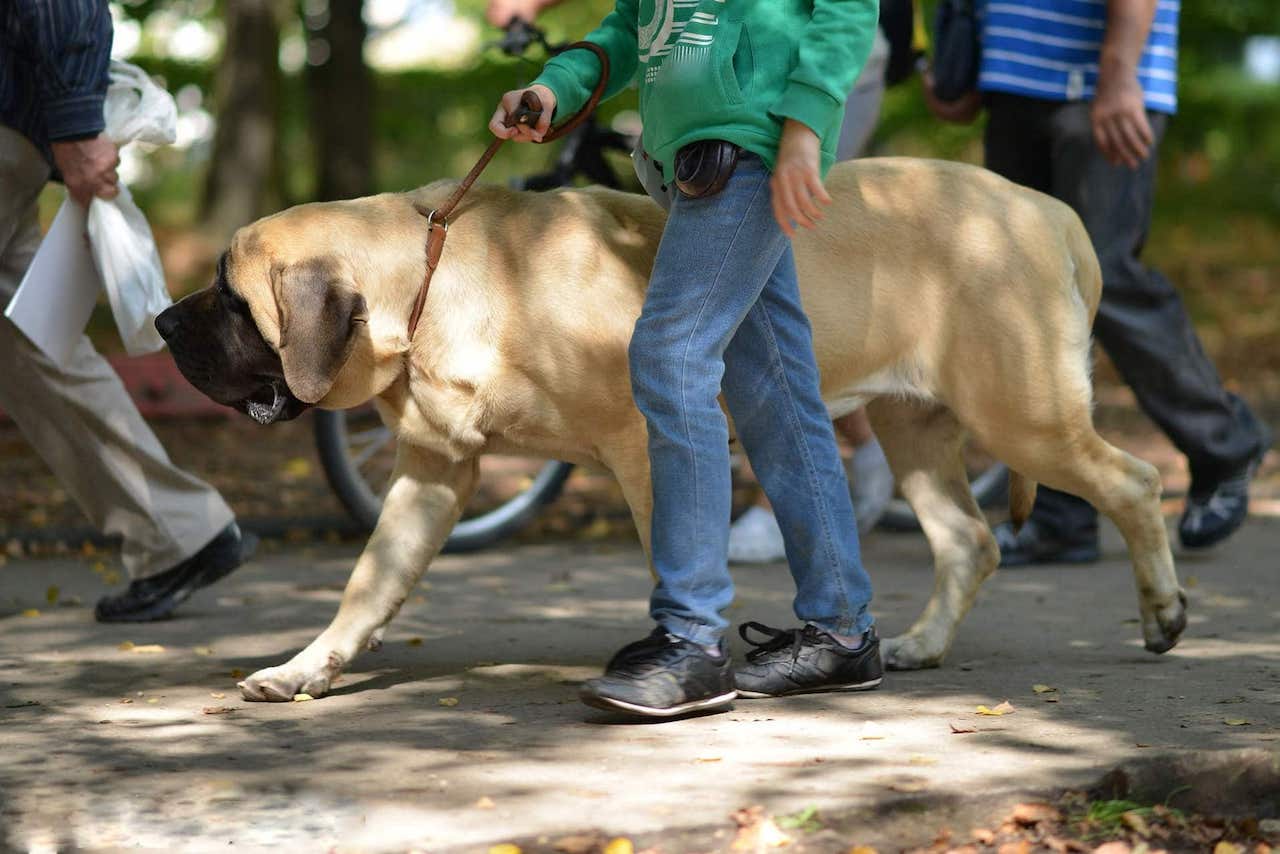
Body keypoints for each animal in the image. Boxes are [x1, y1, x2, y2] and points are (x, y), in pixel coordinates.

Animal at [157, 158, 1187, 701]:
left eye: (231, 299)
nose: (164, 325)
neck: (432, 275)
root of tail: (1047, 208)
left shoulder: (645, 445)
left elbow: (674, 551)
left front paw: (687, 662)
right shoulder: (434, 474)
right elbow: (369, 583)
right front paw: (305, 668)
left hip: (1022, 415)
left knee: (1135, 483)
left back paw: (1165, 614)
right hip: (918, 431)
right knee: (970, 538)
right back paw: (919, 645)